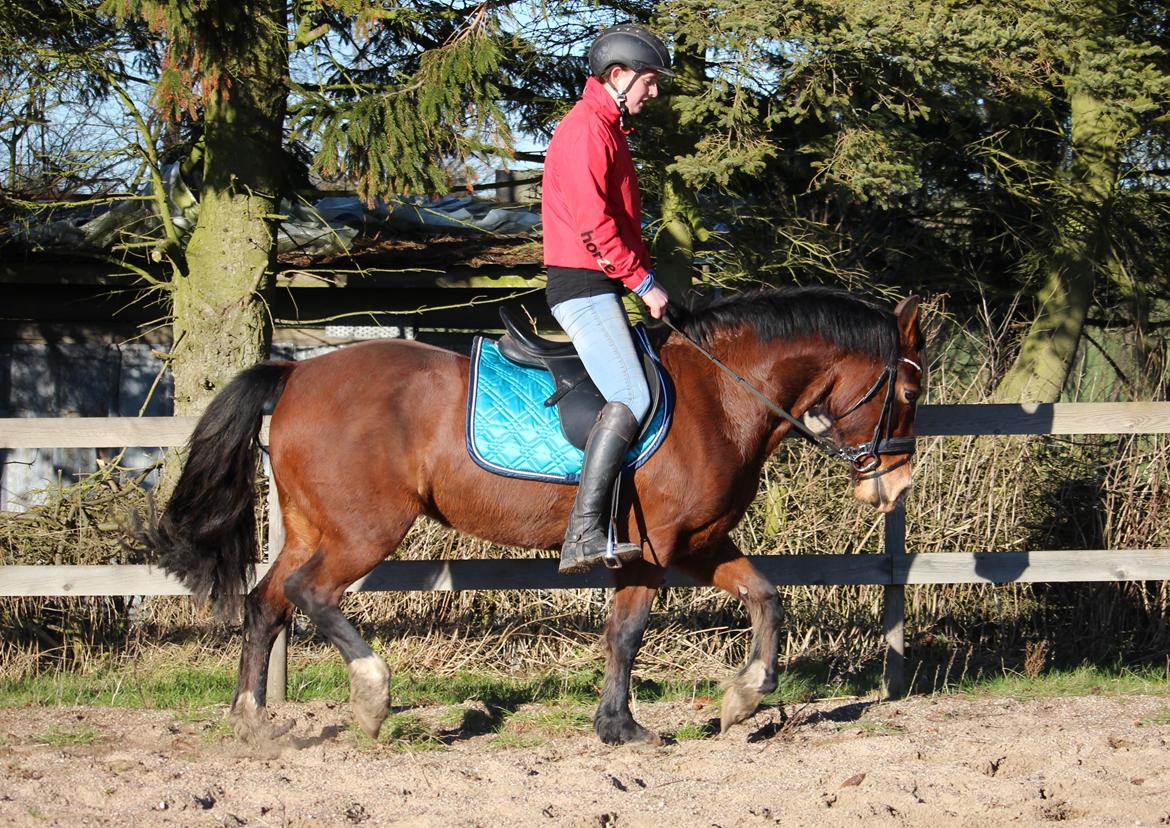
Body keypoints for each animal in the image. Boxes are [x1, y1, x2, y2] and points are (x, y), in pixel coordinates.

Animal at [143, 284, 921, 743]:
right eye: (908, 394)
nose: (895, 488)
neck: (719, 392)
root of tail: (299, 370)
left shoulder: (699, 543)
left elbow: (766, 596)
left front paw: (742, 699)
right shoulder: (651, 549)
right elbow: (627, 633)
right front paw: (621, 727)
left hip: (312, 527)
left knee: (266, 602)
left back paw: (252, 721)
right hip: (364, 532)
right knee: (310, 593)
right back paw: (371, 695)